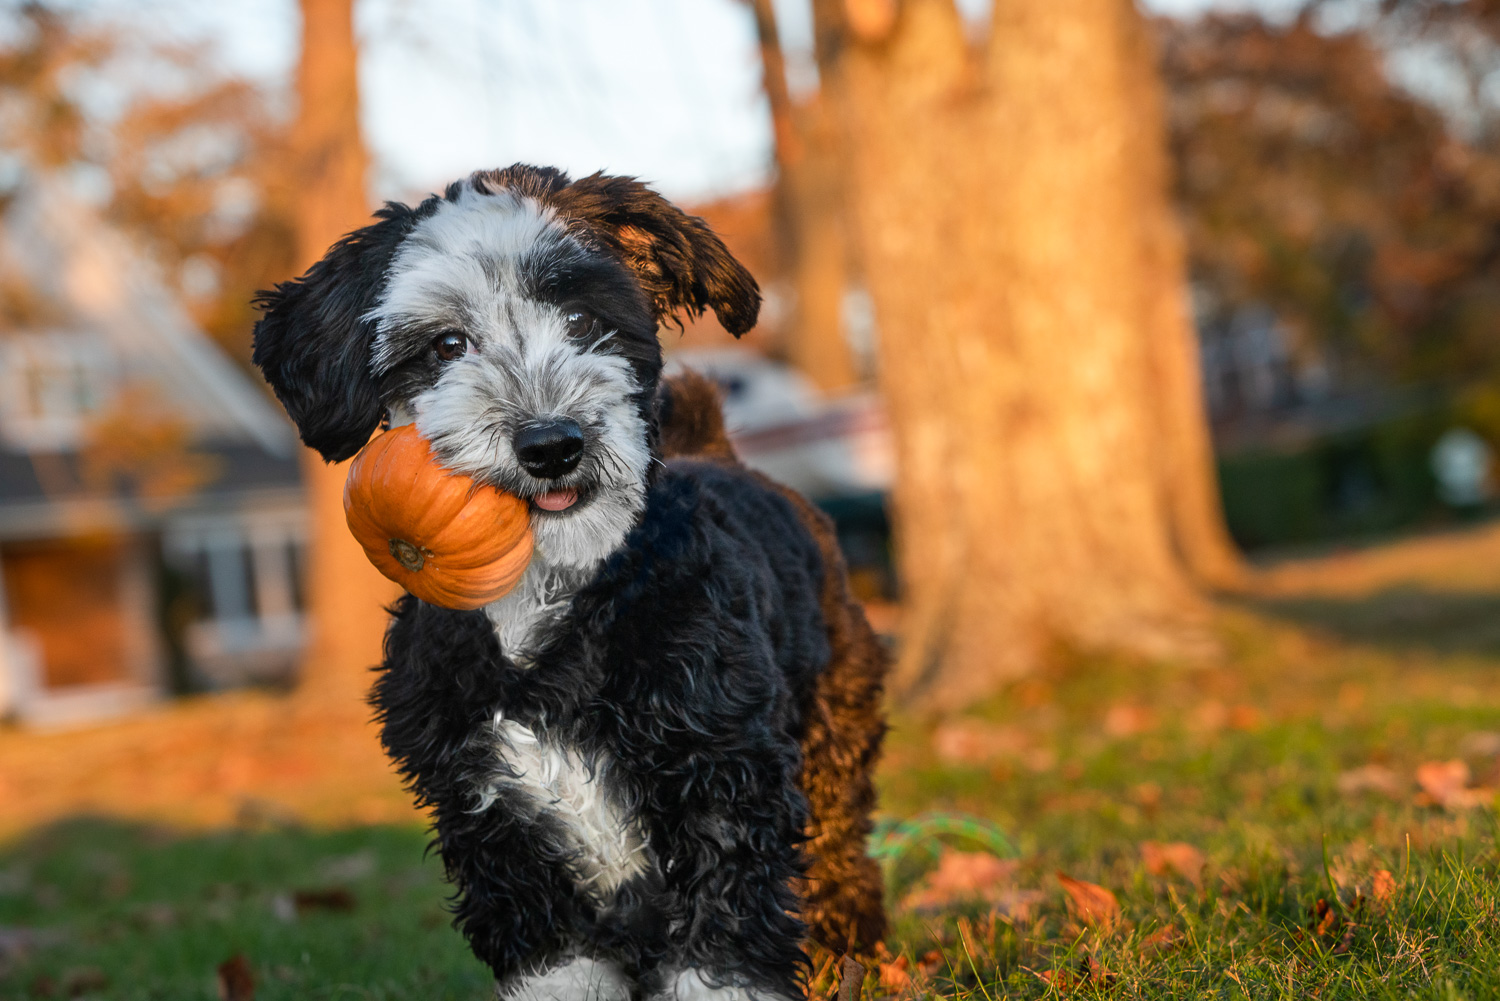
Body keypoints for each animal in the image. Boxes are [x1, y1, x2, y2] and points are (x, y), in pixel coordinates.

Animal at [252, 168, 882, 1001]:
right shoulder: (498, 830)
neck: (550, 600)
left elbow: (720, 950)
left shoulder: (721, 783)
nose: (552, 444)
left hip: (833, 732)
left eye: (584, 319)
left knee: (844, 859)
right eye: (447, 345)